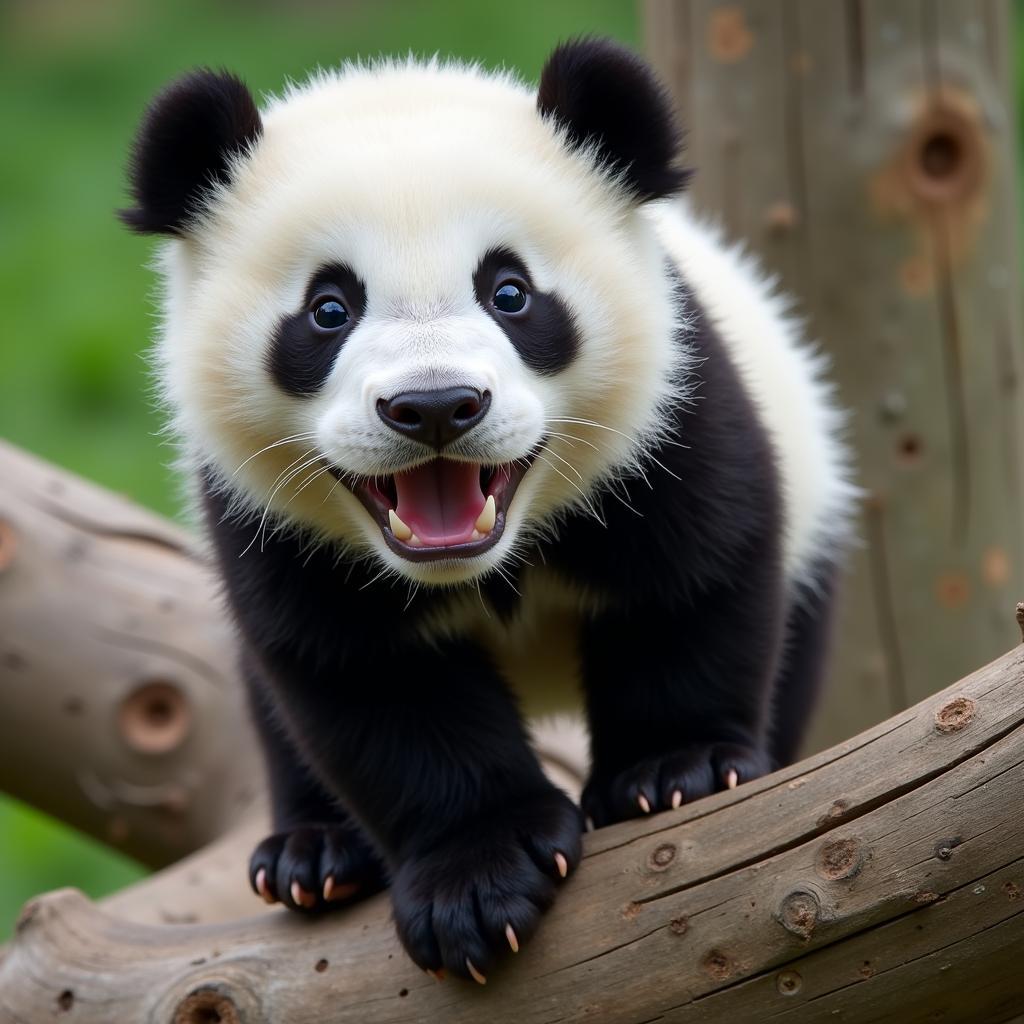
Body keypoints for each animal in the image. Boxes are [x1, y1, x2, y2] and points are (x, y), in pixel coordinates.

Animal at [121, 39, 856, 983]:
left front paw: (673, 772)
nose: (435, 406)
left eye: (510, 292)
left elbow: (694, 579)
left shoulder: (673, 413)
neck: (484, 566)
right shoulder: (264, 518)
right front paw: (477, 881)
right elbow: (367, 677)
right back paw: (313, 855)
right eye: (329, 309)